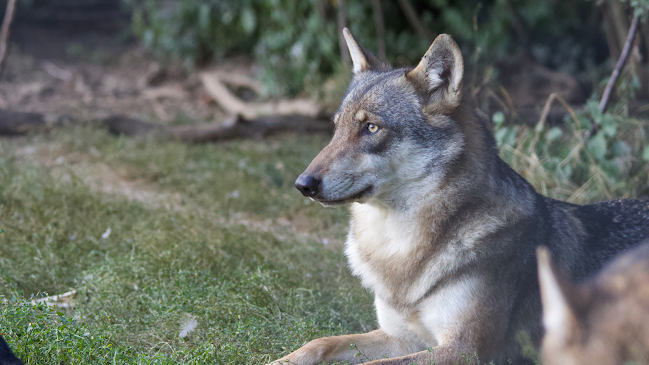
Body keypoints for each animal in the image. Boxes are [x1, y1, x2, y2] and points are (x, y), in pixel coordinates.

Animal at [266, 28, 648, 364]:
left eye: (371, 128)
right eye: (336, 128)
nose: (303, 183)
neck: (400, 252)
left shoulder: (462, 349)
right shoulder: (399, 337)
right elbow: (320, 342)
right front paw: (280, 361)